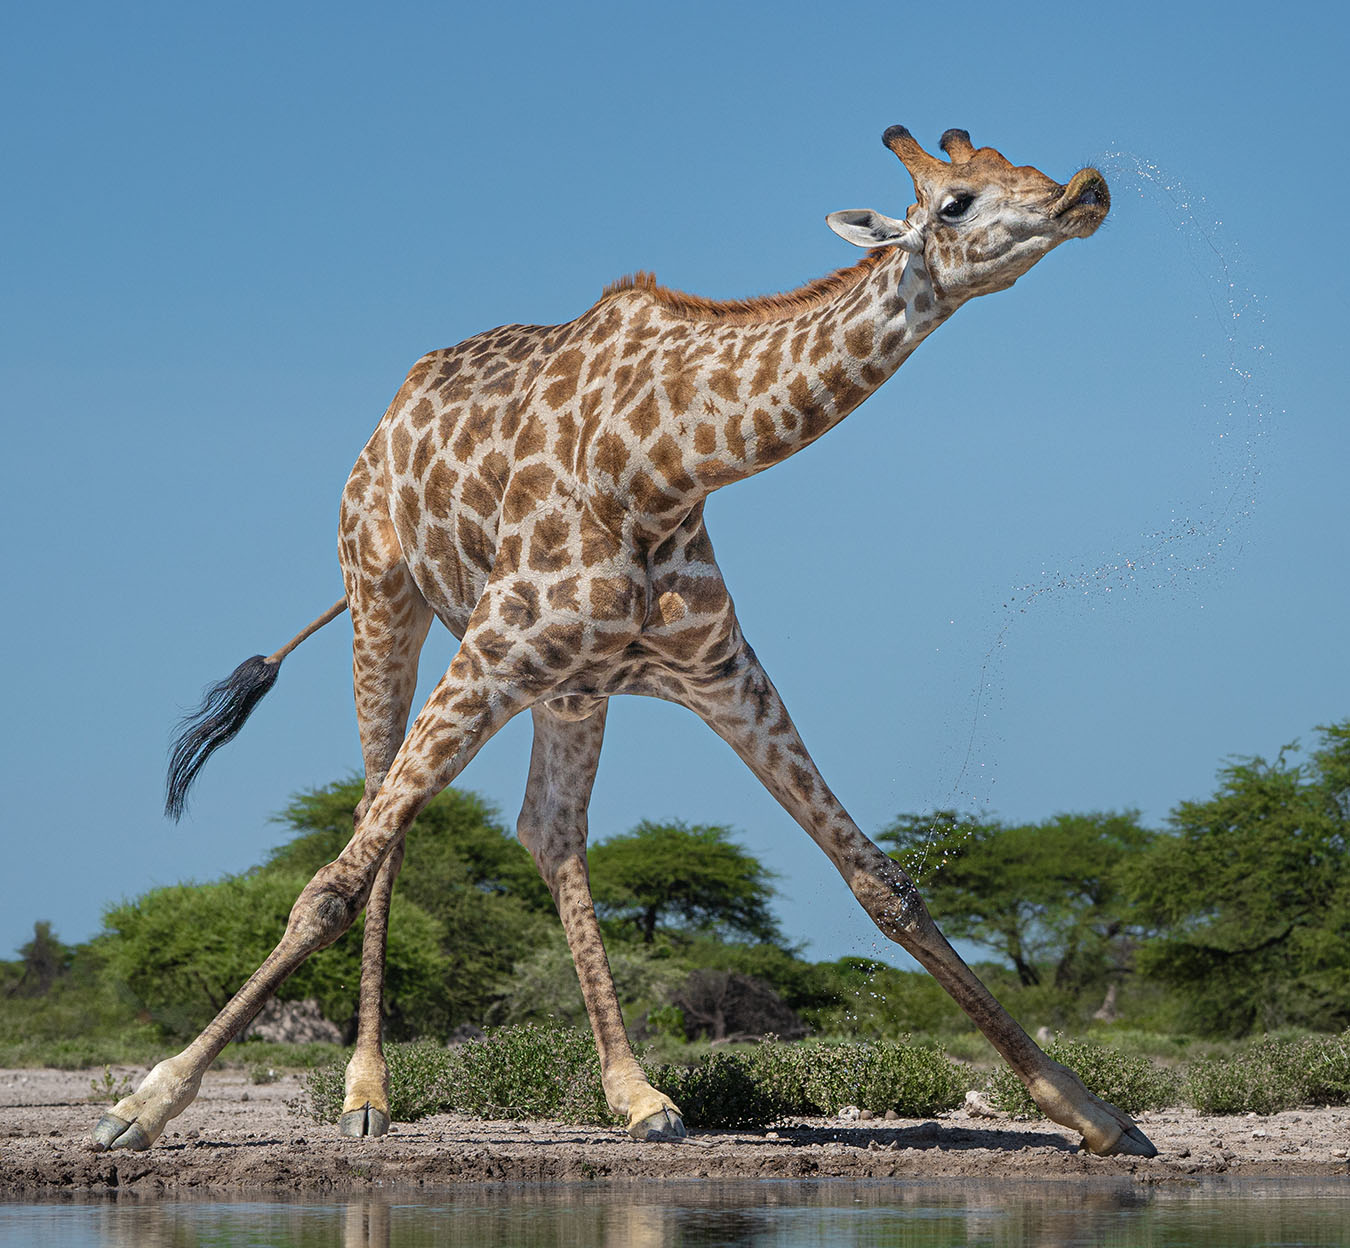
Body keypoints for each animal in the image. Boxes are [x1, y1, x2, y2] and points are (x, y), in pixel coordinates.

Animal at [96, 124, 1155, 1159]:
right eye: (956, 203)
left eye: (1026, 164)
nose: (1086, 190)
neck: (665, 462)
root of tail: (381, 428)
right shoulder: (493, 651)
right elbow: (331, 884)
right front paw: (145, 1103)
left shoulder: (721, 672)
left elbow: (883, 883)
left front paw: (1093, 1113)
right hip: (383, 600)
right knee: (376, 817)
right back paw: (367, 1094)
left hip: (572, 688)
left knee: (547, 832)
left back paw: (638, 1094)